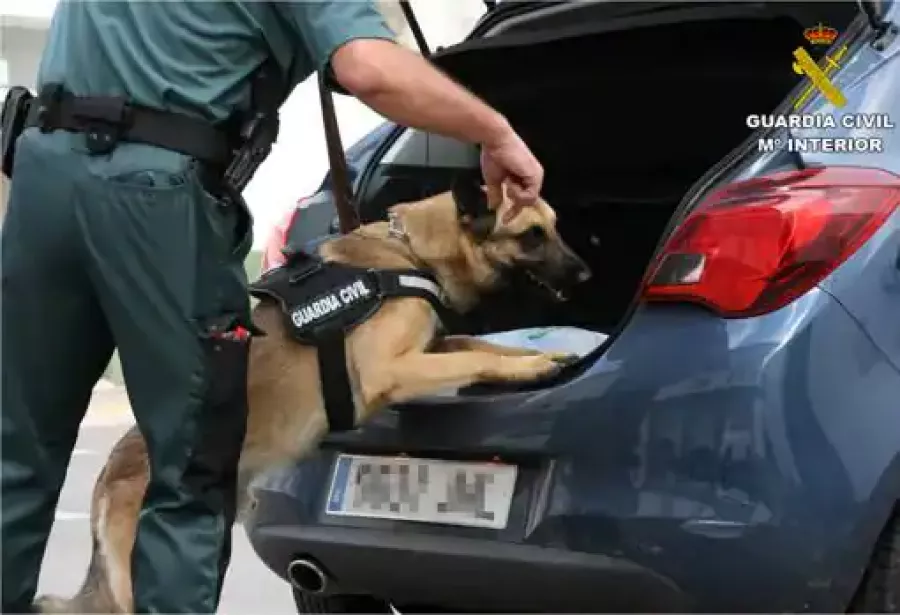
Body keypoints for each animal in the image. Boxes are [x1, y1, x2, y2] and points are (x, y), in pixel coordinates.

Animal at [35, 180, 596, 612]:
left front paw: (542, 356)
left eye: (554, 227)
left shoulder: (435, 346)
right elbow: (476, 357)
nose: (588, 274)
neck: (411, 249)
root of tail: (108, 475)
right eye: (531, 235)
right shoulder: (391, 369)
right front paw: (532, 366)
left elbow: (482, 346)